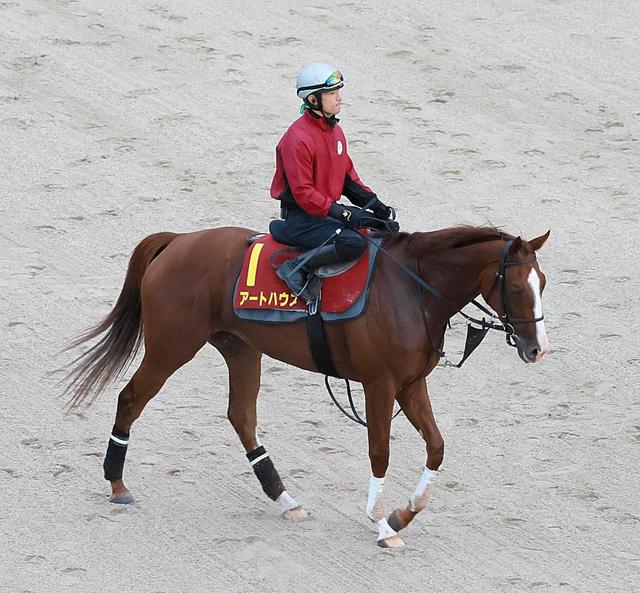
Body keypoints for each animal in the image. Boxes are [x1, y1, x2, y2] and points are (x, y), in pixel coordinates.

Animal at [63, 225, 550, 548]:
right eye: (517, 287)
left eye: (542, 283)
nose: (537, 349)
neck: (412, 291)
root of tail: (179, 240)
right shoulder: (380, 384)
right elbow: (380, 452)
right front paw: (379, 520)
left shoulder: (411, 384)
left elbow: (436, 447)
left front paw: (401, 515)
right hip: (172, 347)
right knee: (131, 398)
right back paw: (117, 484)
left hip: (241, 348)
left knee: (242, 417)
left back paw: (284, 498)